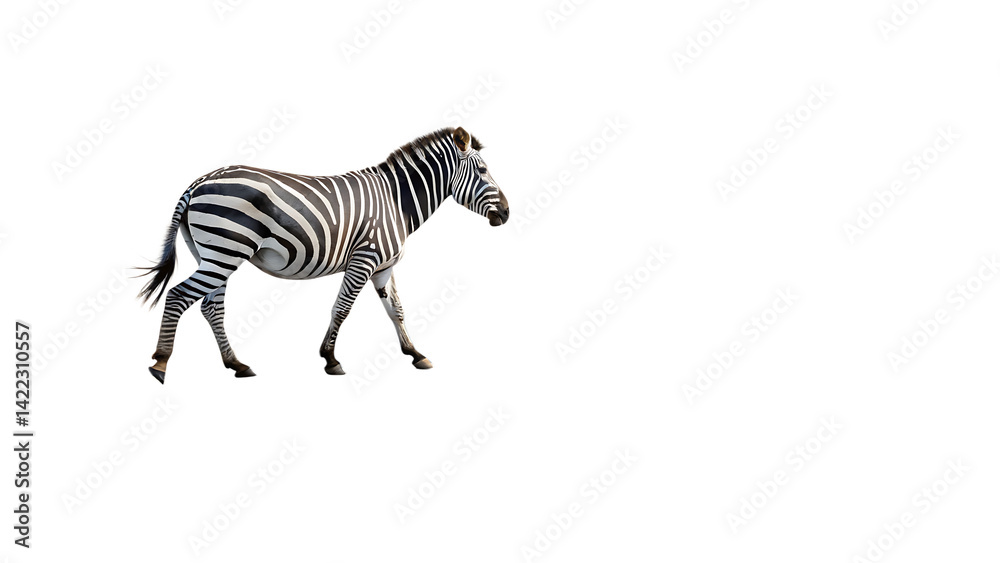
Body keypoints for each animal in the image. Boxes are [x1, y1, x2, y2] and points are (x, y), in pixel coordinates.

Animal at [138, 127, 508, 384]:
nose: (506, 213)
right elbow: (342, 308)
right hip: (225, 251)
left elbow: (397, 311)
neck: (396, 201)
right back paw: (161, 362)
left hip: (214, 254)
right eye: (483, 171)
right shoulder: (365, 258)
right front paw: (330, 359)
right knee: (179, 296)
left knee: (211, 307)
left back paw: (237, 365)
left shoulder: (384, 267)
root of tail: (199, 181)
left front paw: (416, 354)